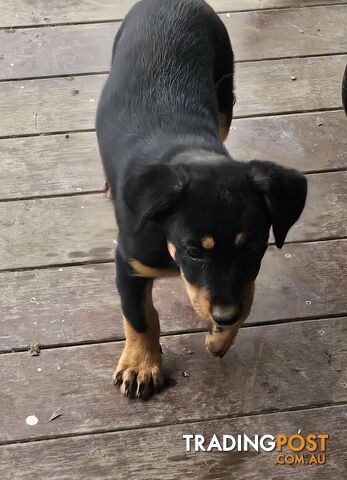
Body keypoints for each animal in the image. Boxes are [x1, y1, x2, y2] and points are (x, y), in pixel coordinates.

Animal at [95, 0, 308, 398]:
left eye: (252, 247)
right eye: (194, 251)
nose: (223, 317)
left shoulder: (239, 284)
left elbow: (245, 297)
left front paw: (220, 338)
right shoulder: (128, 261)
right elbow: (139, 316)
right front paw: (140, 366)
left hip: (224, 92)